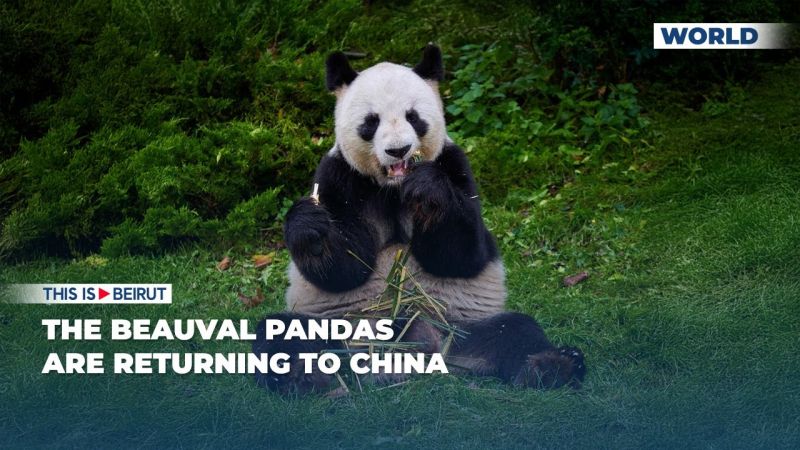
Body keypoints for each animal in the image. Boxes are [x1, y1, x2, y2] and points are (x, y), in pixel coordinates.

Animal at [252, 44, 585, 394]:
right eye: (371, 122)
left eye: (413, 117)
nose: (399, 150)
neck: (393, 187)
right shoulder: (340, 177)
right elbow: (344, 269)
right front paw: (313, 231)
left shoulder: (454, 165)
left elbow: (461, 255)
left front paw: (429, 192)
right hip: (344, 331)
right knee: (280, 333)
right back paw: (307, 377)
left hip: (462, 329)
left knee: (517, 330)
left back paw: (551, 366)